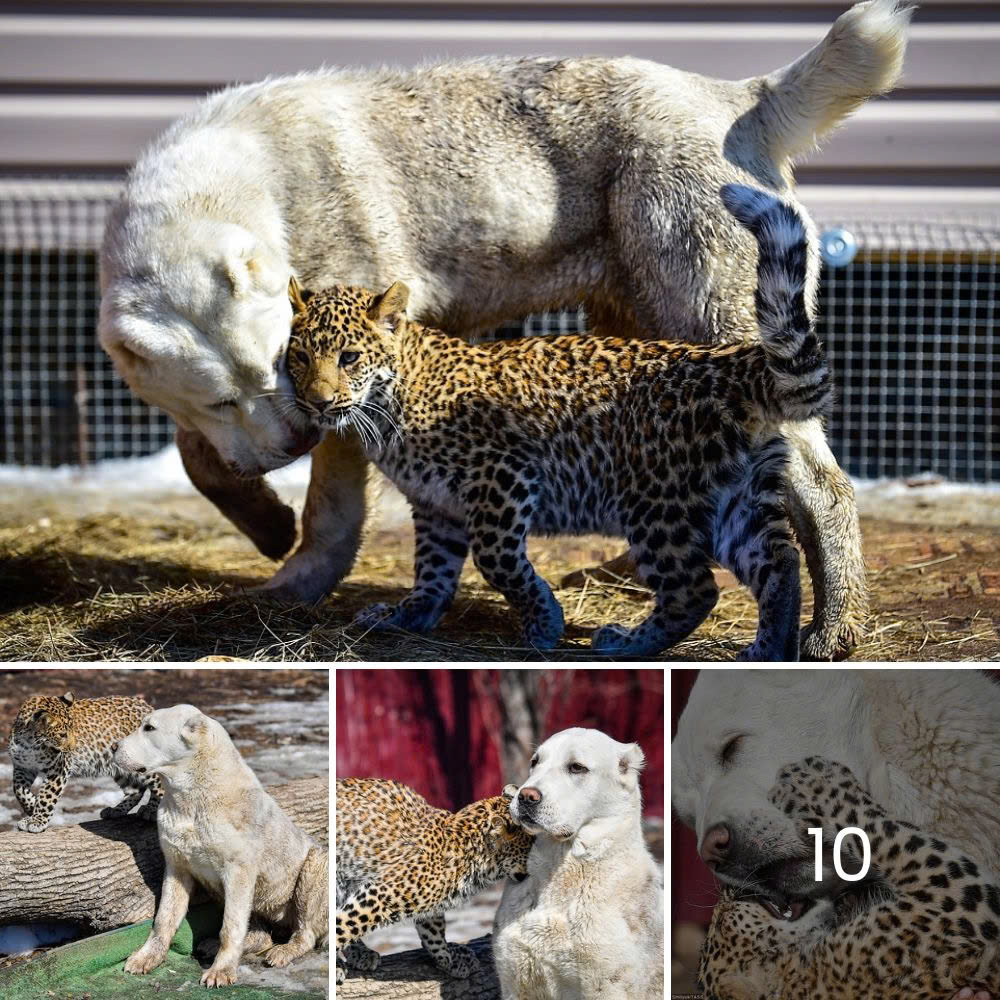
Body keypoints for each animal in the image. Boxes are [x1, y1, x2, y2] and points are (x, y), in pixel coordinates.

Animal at [95, 1, 916, 664]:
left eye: (278, 368)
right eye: (222, 397)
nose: (295, 441)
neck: (252, 187)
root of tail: (735, 96)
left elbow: (331, 506)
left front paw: (296, 579)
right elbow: (200, 457)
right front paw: (265, 522)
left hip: (710, 306)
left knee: (822, 483)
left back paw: (834, 628)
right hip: (637, 325)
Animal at [112, 708, 328, 988]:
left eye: (149, 728)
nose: (113, 746)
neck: (190, 797)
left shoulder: (238, 872)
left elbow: (231, 926)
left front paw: (221, 971)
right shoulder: (177, 868)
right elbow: (164, 919)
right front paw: (147, 957)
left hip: (315, 867)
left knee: (306, 933)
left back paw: (283, 951)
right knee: (261, 934)